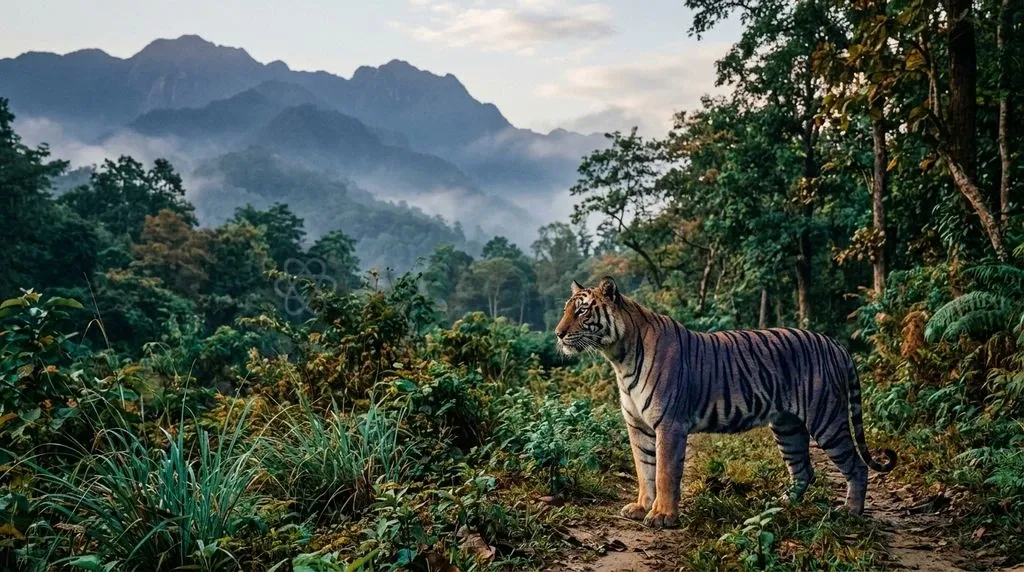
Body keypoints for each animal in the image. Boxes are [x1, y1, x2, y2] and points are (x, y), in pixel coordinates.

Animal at [553, 276, 896, 529]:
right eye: (565, 310)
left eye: (582, 311)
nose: (557, 334)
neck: (619, 357)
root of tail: (835, 343)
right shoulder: (638, 425)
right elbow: (644, 469)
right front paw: (641, 507)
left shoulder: (670, 424)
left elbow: (664, 472)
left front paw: (663, 516)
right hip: (787, 426)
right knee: (803, 470)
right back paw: (782, 505)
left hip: (827, 419)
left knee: (856, 466)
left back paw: (850, 513)